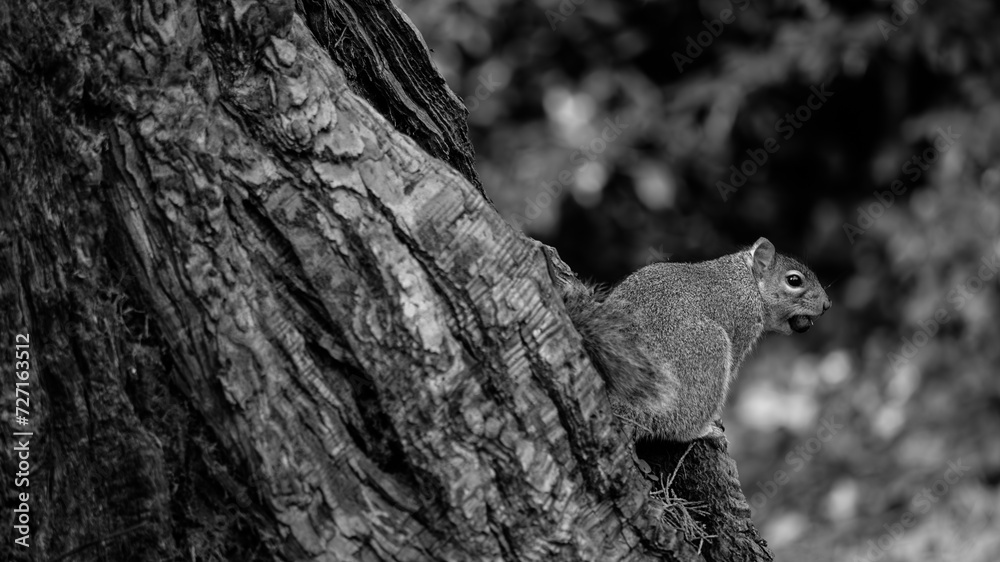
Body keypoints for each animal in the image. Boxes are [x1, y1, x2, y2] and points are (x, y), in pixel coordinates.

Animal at [549, 237, 831, 442]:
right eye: (793, 280)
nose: (827, 305)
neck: (748, 281)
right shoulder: (742, 324)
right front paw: (716, 419)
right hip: (707, 352)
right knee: (676, 427)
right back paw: (703, 430)